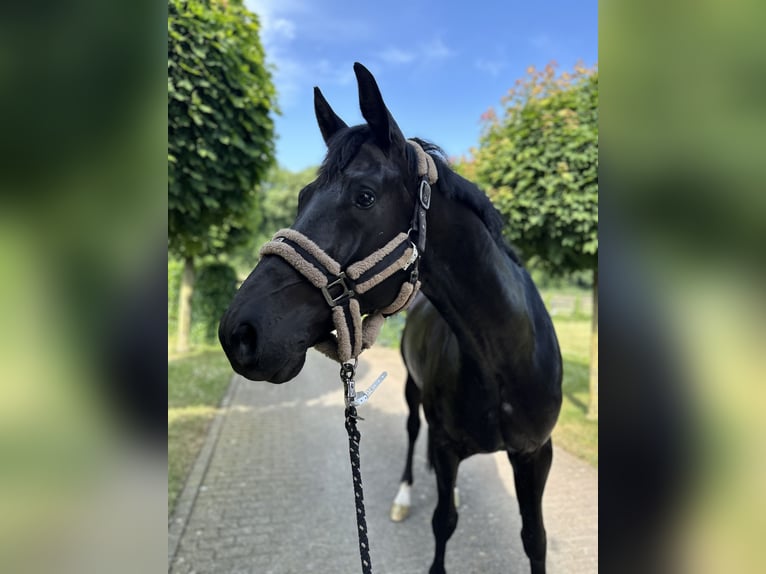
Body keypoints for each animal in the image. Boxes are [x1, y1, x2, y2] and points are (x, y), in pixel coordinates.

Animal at [219, 62, 563, 574]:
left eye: (364, 197)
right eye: (302, 197)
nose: (238, 333)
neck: (505, 358)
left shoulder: (536, 454)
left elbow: (534, 538)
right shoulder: (446, 446)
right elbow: (443, 521)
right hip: (412, 393)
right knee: (413, 432)